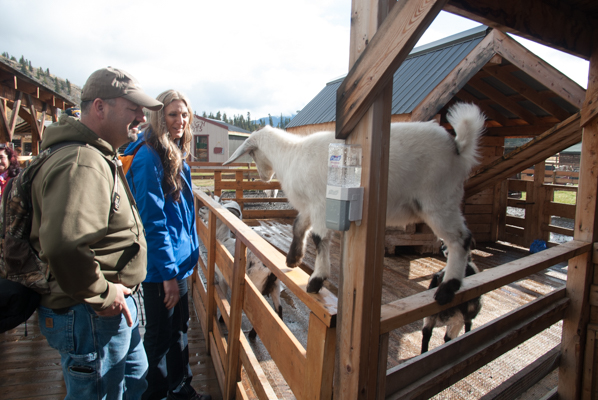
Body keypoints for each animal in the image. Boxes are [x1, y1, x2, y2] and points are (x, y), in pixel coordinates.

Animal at [225, 104, 488, 306]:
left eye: (252, 154)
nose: (263, 178)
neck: (291, 155)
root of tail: (457, 147)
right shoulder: (310, 206)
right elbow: (298, 226)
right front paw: (293, 259)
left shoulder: (321, 204)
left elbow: (319, 238)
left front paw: (316, 280)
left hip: (438, 199)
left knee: (460, 239)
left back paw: (447, 289)